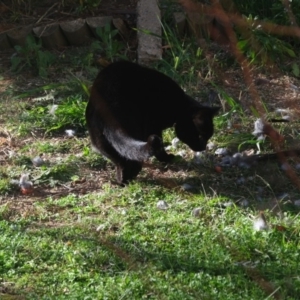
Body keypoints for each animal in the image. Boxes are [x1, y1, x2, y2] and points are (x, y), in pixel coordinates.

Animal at [85, 61, 219, 184]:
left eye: (209, 137)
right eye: (200, 136)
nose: (203, 147)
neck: (179, 106)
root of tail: (108, 107)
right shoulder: (153, 125)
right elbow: (160, 149)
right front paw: (167, 159)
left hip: (98, 140)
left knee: (121, 159)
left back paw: (122, 181)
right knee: (136, 159)